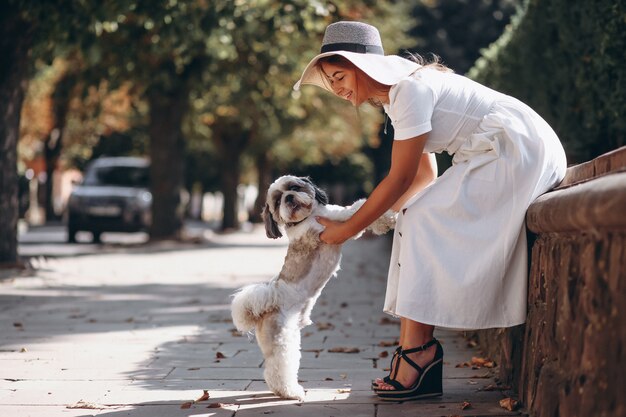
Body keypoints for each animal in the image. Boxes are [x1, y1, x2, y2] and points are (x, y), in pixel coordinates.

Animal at [232, 175, 392, 400]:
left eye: (294, 187)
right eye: (277, 201)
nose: (289, 197)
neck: (307, 217)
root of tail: (266, 305)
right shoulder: (333, 224)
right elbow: (357, 209)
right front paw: (389, 217)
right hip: (283, 341)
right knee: (278, 369)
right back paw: (291, 392)